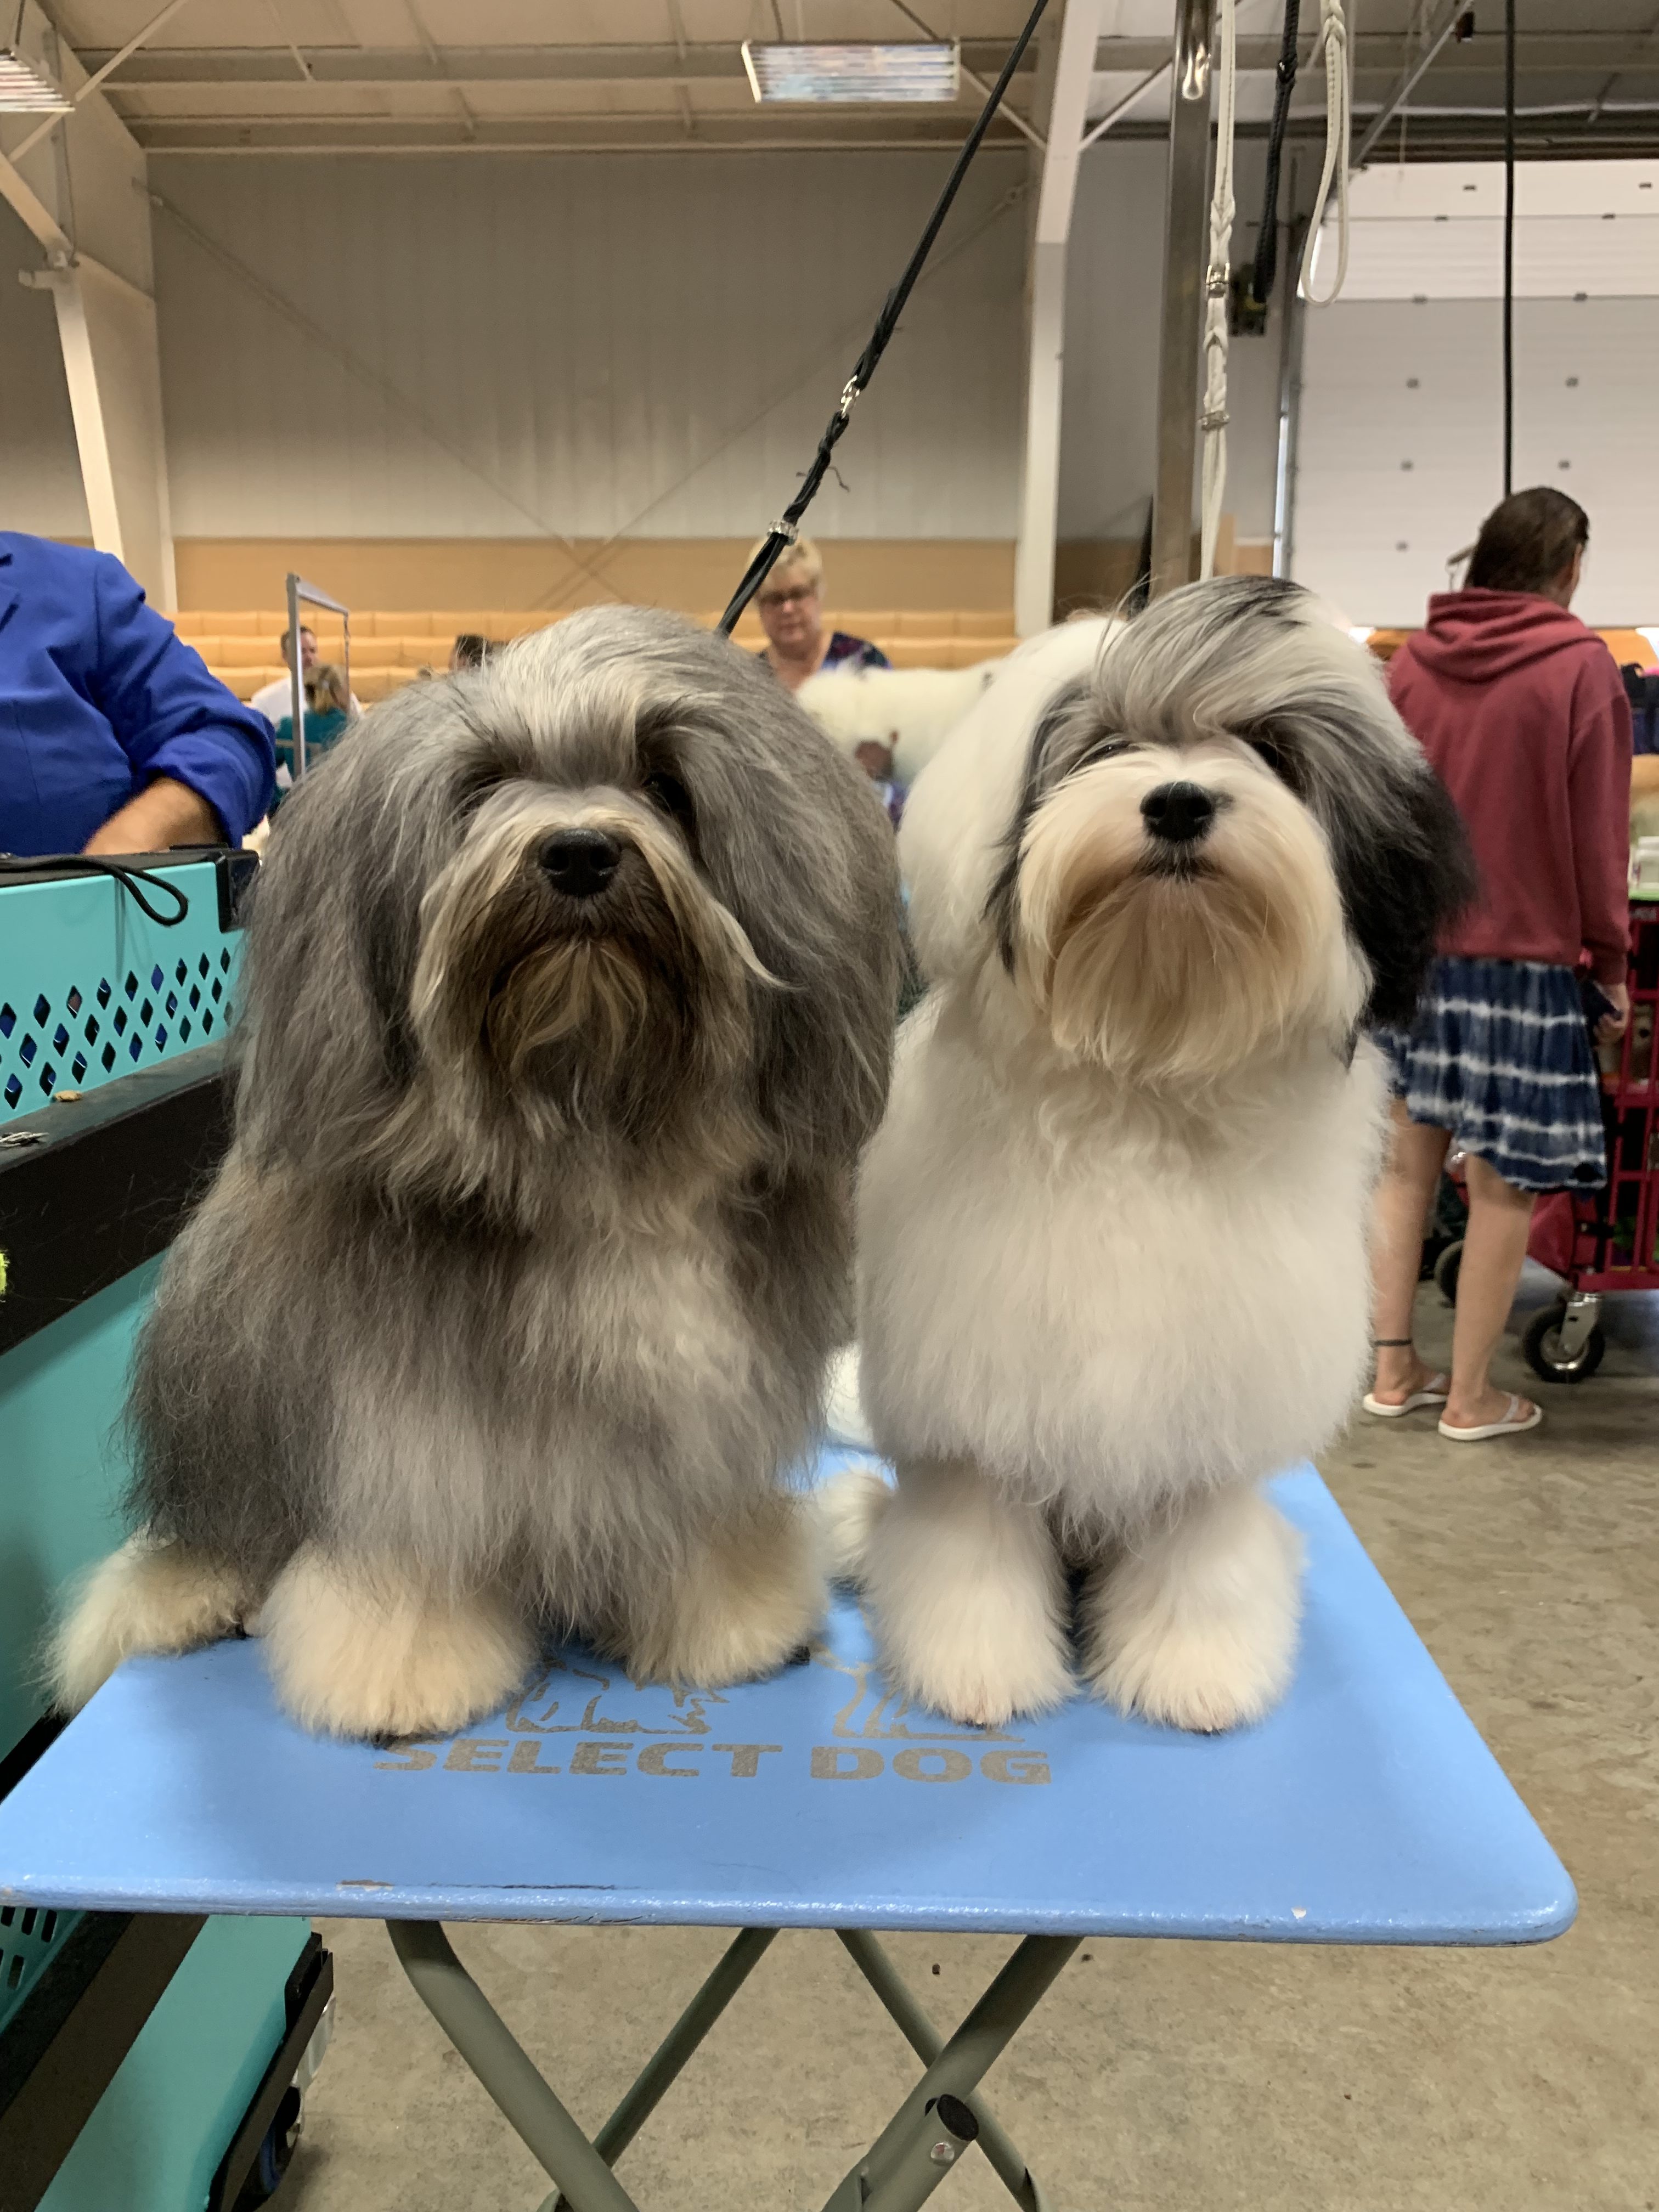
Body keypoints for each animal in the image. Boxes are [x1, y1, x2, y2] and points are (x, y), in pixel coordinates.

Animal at [52, 614, 902, 1734]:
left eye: (663, 782)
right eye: (483, 786)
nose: (579, 852)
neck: (588, 1129)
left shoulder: (694, 1413)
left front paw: (728, 1616)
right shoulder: (404, 1416)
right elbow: (416, 1538)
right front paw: (400, 1669)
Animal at [827, 579, 1477, 1734]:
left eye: (1268, 747)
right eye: (1104, 746)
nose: (1176, 802)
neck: (1143, 1066)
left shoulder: (1205, 1411)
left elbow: (1198, 1552)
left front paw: (1192, 1672)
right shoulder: (979, 1401)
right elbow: (970, 1545)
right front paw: (974, 1667)